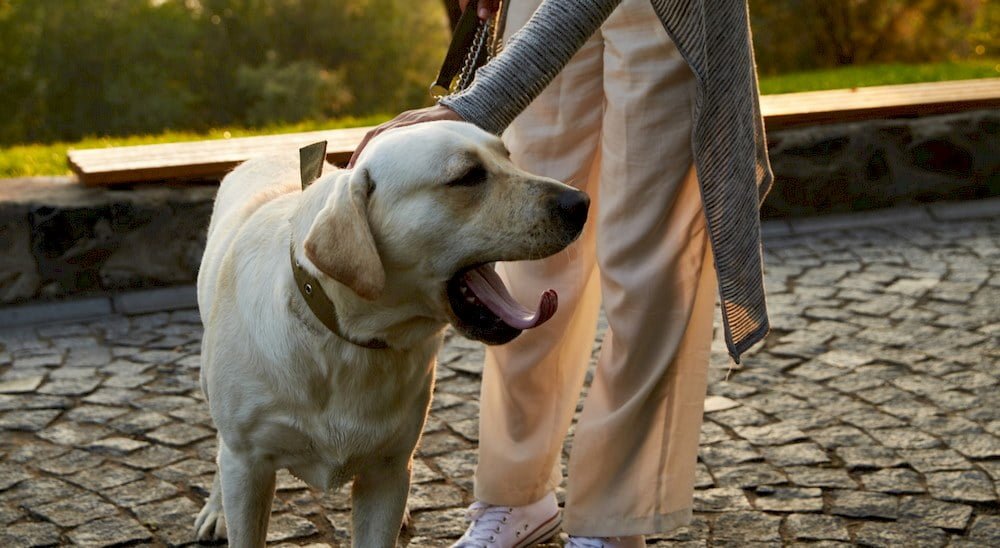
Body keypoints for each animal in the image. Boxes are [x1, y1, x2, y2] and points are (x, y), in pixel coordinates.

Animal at [191, 122, 588, 548]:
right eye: (467, 176)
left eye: (508, 157)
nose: (581, 202)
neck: (348, 343)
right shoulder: (249, 460)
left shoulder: (387, 470)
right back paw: (216, 510)